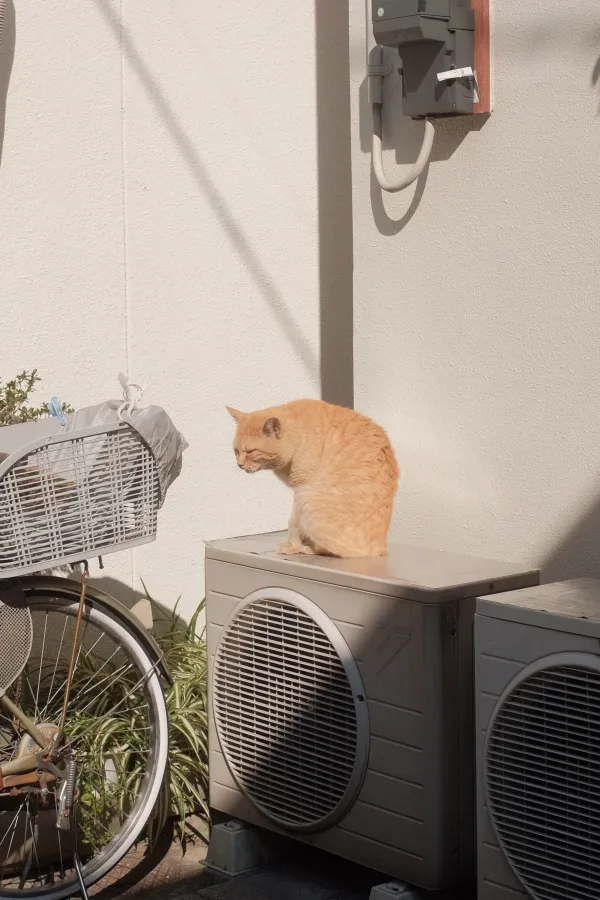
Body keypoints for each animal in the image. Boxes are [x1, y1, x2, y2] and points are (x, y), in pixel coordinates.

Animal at [225, 400, 398, 556]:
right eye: (236, 451)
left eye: (250, 451)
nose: (239, 464)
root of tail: (381, 548)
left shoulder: (300, 488)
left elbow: (293, 522)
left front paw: (292, 546)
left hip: (308, 498)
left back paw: (308, 548)